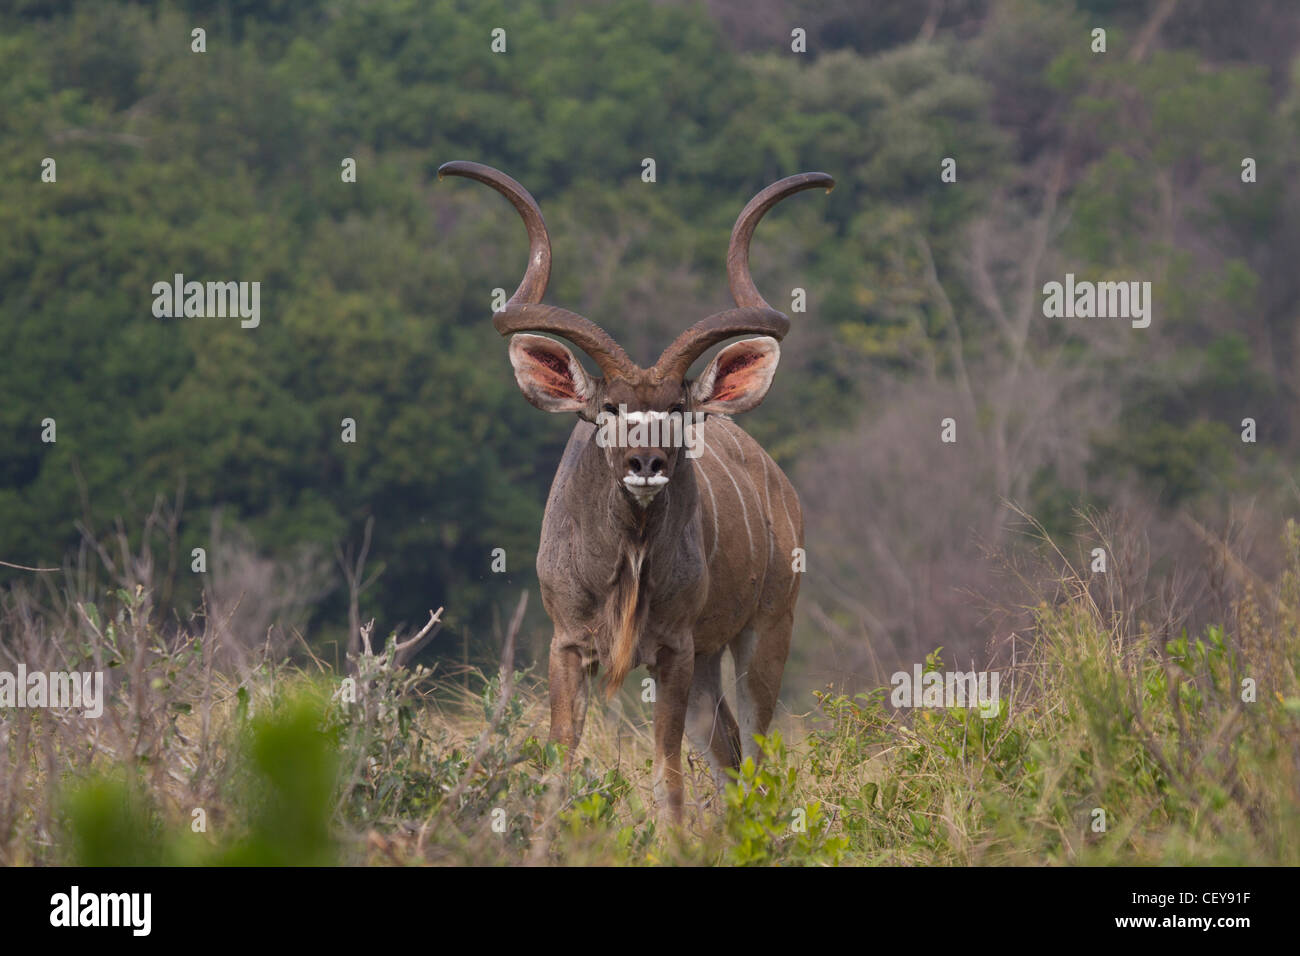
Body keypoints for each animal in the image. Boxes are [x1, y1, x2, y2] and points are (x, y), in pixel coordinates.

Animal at [436, 160, 832, 816]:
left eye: (676, 407)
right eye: (610, 407)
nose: (646, 462)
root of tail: (781, 487)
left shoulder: (673, 650)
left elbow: (666, 773)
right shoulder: (569, 645)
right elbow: (562, 761)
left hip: (767, 630)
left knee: (754, 750)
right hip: (709, 660)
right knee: (725, 745)